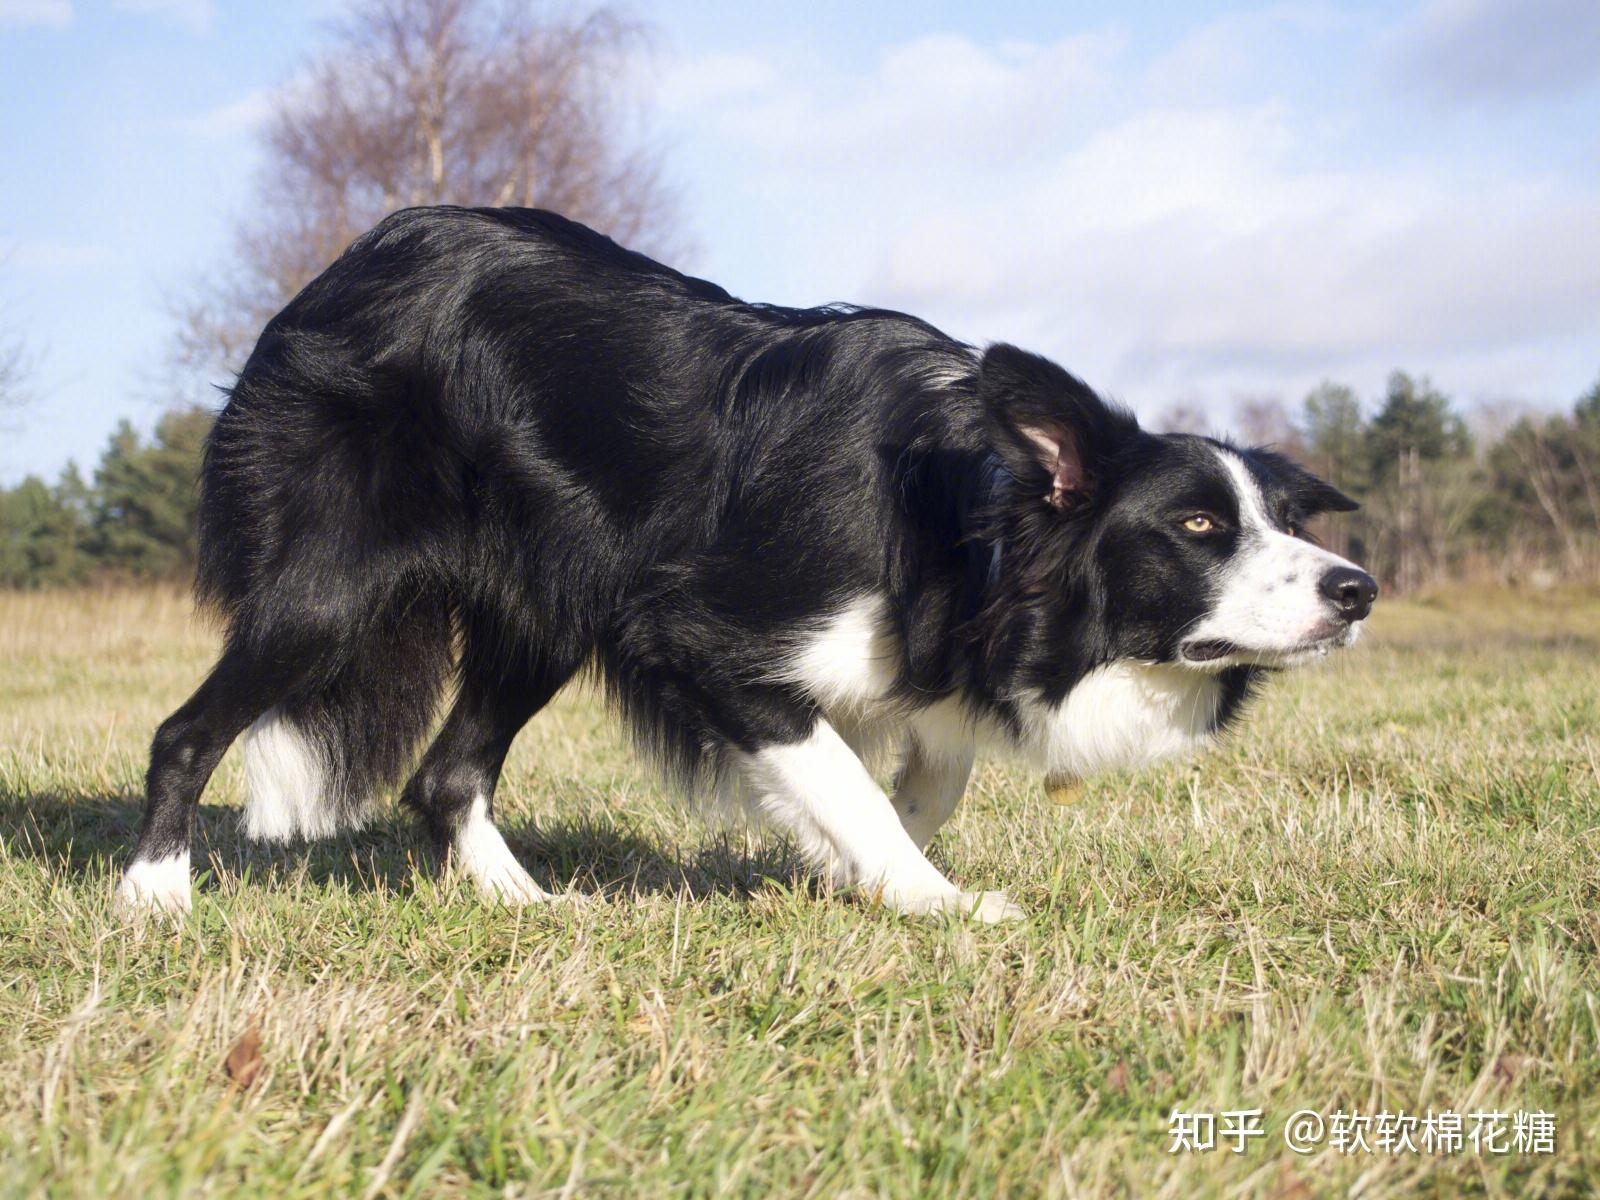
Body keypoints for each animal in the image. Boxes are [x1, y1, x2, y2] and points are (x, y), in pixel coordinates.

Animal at [121, 204, 1376, 921]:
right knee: (185, 730)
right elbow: (850, 780)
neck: (965, 514)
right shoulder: (703, 637)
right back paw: (155, 897)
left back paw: (526, 906)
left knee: (446, 776)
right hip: (332, 591)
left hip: (548, 608)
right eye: (1198, 527)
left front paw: (857, 879)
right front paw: (937, 902)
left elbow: (922, 776)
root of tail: (340, 271)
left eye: (1278, 516)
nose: (1355, 589)